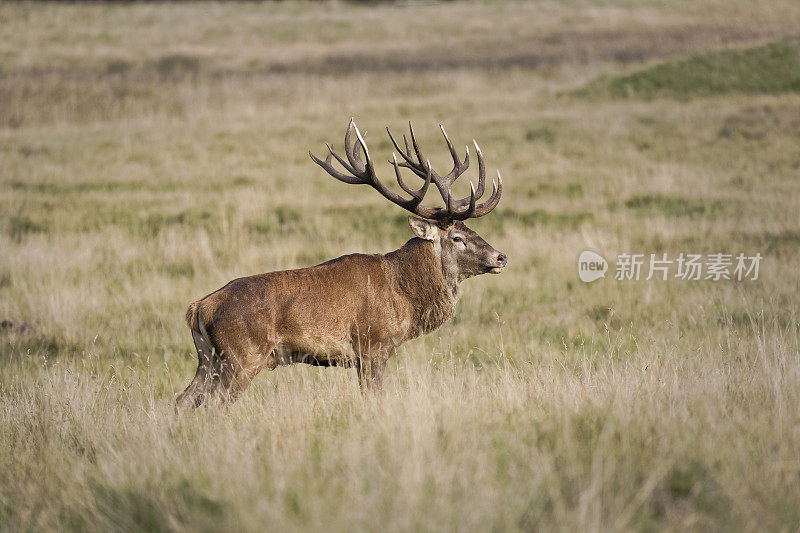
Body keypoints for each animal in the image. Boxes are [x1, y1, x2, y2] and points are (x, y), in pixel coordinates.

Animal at [178, 117, 510, 408]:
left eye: (471, 231)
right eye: (456, 237)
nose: (501, 256)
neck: (405, 295)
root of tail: (199, 307)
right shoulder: (373, 346)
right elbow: (373, 397)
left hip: (208, 358)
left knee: (183, 400)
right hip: (242, 355)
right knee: (214, 404)